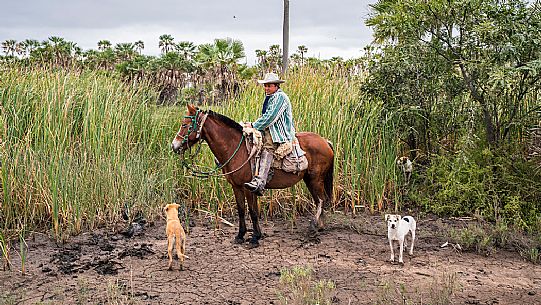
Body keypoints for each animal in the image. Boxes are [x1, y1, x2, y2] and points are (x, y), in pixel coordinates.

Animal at [173, 103, 334, 246]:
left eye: (184, 125)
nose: (174, 146)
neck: (235, 148)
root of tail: (325, 141)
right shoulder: (237, 187)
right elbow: (241, 210)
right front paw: (240, 236)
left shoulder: (248, 188)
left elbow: (253, 212)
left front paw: (255, 238)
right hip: (309, 179)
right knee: (319, 200)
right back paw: (319, 226)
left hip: (315, 179)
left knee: (321, 200)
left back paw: (314, 226)